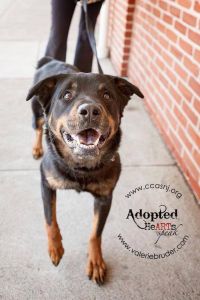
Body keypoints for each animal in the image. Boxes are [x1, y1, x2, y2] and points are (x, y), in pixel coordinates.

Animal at [26, 56, 144, 284]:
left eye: (107, 95)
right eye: (66, 95)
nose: (89, 110)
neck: (82, 166)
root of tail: (50, 60)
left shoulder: (105, 197)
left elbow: (95, 232)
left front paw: (96, 261)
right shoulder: (46, 182)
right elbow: (50, 219)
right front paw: (55, 248)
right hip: (36, 111)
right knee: (38, 126)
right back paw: (37, 147)